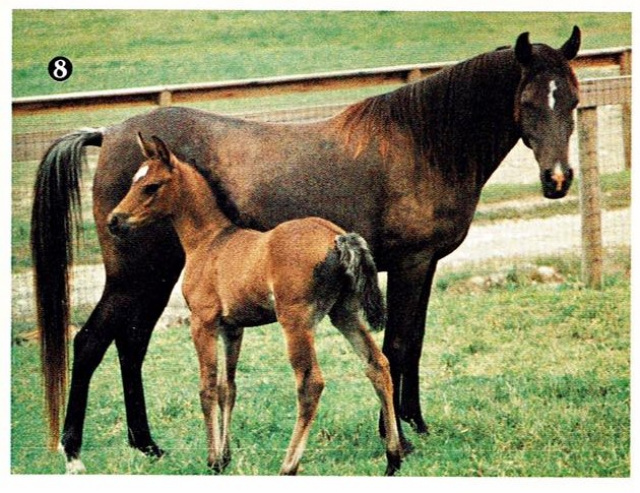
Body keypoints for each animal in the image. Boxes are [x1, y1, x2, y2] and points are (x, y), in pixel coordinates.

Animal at [107, 133, 402, 474]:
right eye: (134, 180)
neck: (209, 242)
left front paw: (212, 460)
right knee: (377, 365)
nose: (114, 221)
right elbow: (228, 388)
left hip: (296, 322)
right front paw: (225, 457)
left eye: (152, 186)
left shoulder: (203, 322)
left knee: (310, 383)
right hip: (345, 314)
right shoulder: (233, 328)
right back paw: (393, 458)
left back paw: (288, 466)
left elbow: (208, 388)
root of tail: (336, 237)